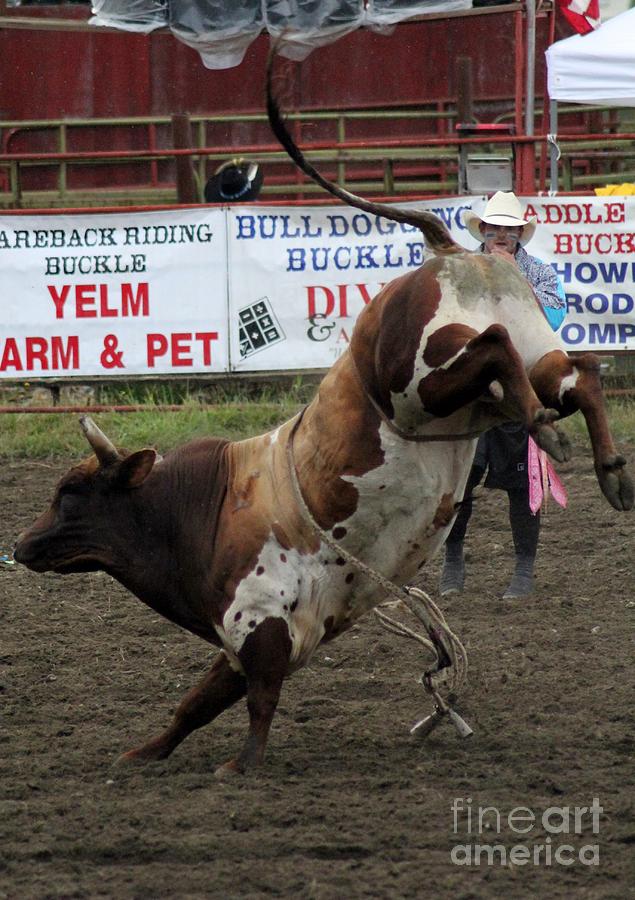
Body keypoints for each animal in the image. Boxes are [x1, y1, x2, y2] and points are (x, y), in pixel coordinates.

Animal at [12, 67, 632, 776]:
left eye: (70, 493)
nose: (20, 545)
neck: (205, 506)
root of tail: (450, 249)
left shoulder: (260, 624)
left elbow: (257, 701)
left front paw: (241, 765)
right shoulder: (245, 638)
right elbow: (195, 704)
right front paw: (144, 753)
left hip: (421, 381)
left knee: (496, 348)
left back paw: (546, 429)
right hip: (525, 352)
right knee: (578, 371)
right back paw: (607, 467)